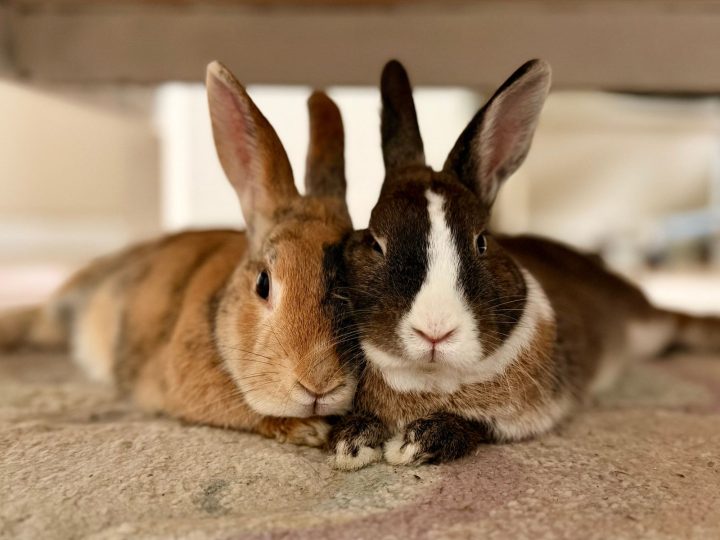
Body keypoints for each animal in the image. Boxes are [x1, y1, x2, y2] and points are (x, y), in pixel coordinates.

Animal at [329, 59, 720, 469]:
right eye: (376, 242)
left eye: (482, 242)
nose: (435, 331)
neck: (433, 377)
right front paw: (351, 445)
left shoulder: (518, 418)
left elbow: (473, 427)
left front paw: (411, 445)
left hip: (649, 325)